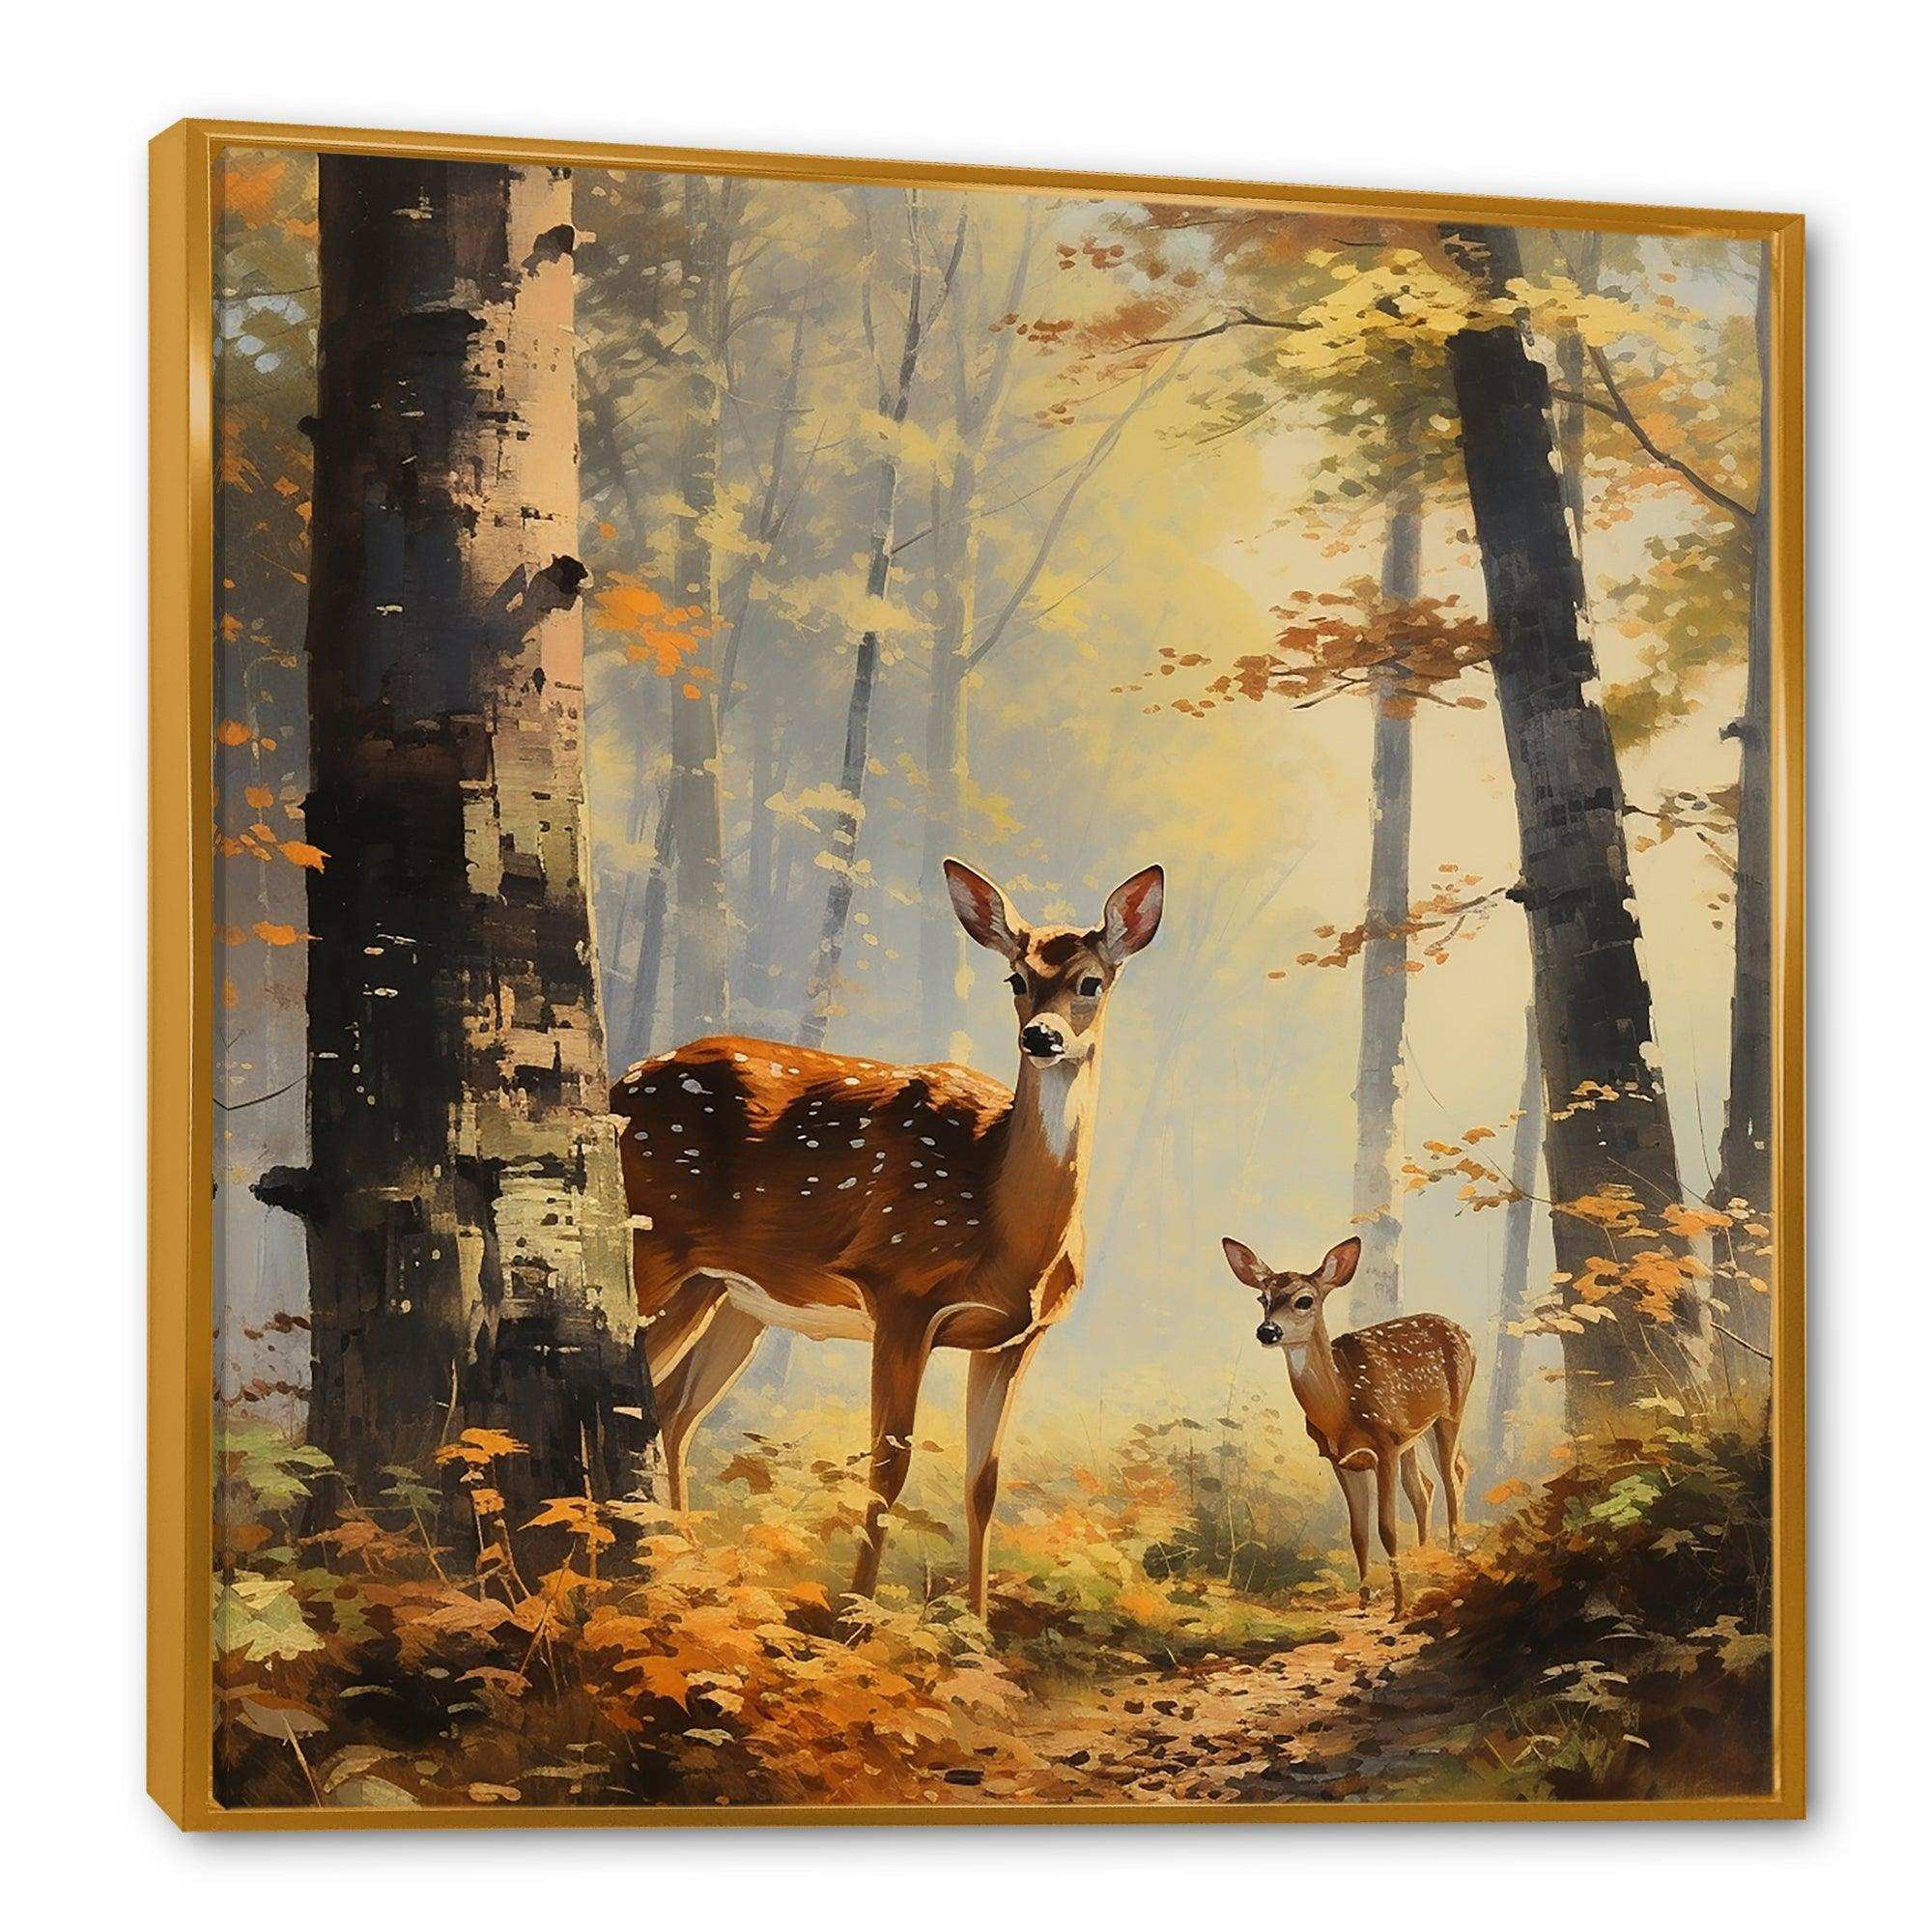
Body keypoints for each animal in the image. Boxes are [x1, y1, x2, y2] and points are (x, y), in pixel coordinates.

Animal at [614, 858, 1164, 1619]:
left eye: (1091, 981)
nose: (1042, 1037)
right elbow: (888, 1464)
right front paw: (856, 1614)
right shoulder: (899, 1291)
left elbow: (984, 1481)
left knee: (672, 1412)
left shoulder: (1016, 1338)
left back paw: (685, 1563)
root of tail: (615, 1083)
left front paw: (978, 1624)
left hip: (728, 1296)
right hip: (654, 1247)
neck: (1010, 1232)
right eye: (1015, 979)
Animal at [1221, 1234, 1475, 1616]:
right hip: (1415, 1434)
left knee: (1451, 1477)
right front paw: (1365, 1600)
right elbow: (1358, 1532)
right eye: (1262, 1299)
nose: (1267, 1331)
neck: (1342, 1408)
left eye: (1304, 1300)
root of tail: (1466, 1333)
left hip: (1451, 1413)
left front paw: (1399, 1606)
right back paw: (1426, 1563)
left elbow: (1386, 1528)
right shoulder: (1342, 1460)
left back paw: (1451, 1561)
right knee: (1427, 1486)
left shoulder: (1385, 1445)